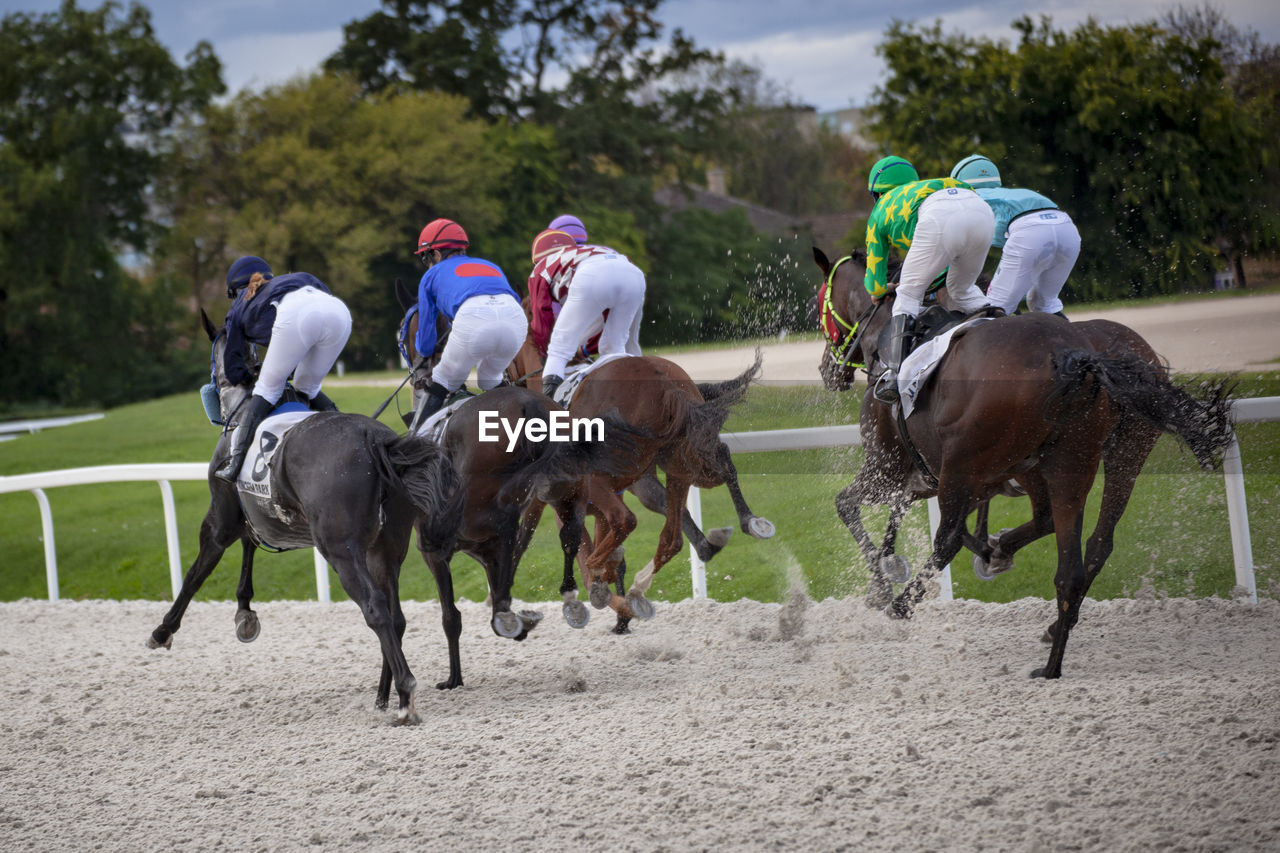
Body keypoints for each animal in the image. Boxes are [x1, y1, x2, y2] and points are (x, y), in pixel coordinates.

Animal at [147, 308, 465, 722]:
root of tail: (376, 440)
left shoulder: (220, 518)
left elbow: (194, 574)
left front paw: (163, 630)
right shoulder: (257, 517)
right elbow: (249, 546)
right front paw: (244, 613)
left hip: (340, 550)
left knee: (376, 607)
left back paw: (405, 694)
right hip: (385, 546)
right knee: (395, 616)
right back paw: (386, 693)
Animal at [808, 247, 1228, 676]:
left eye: (818, 304)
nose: (827, 368)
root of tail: (1071, 354)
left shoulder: (892, 469)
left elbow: (847, 504)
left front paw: (881, 584)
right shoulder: (939, 479)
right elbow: (912, 516)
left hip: (972, 465)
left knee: (949, 539)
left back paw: (904, 604)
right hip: (1097, 458)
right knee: (1085, 550)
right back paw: (1051, 648)